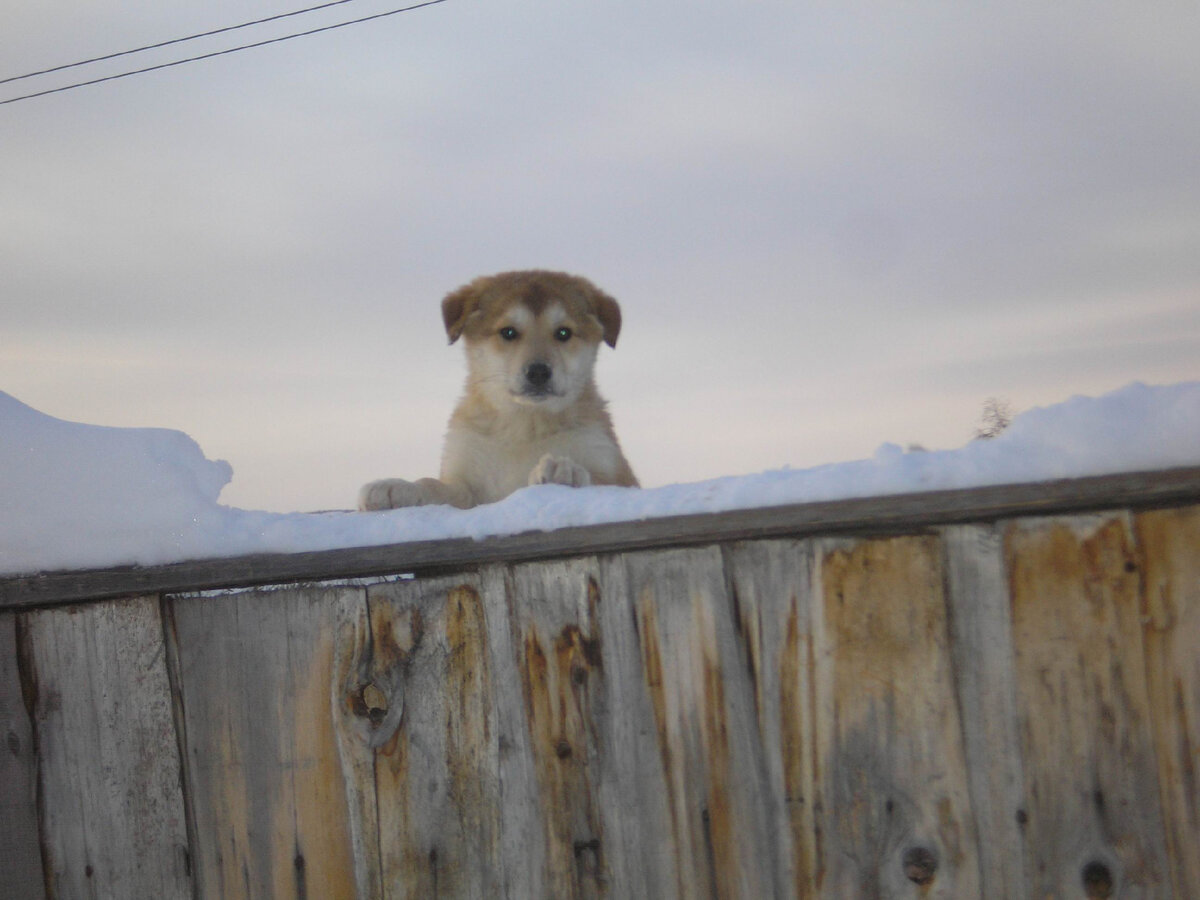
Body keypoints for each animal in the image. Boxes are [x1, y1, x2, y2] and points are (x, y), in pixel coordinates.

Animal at [355, 267, 638, 511]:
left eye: (564, 333)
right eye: (508, 332)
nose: (538, 372)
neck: (524, 428)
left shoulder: (614, 468)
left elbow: (599, 481)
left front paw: (565, 471)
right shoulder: (467, 481)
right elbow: (434, 485)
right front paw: (397, 487)